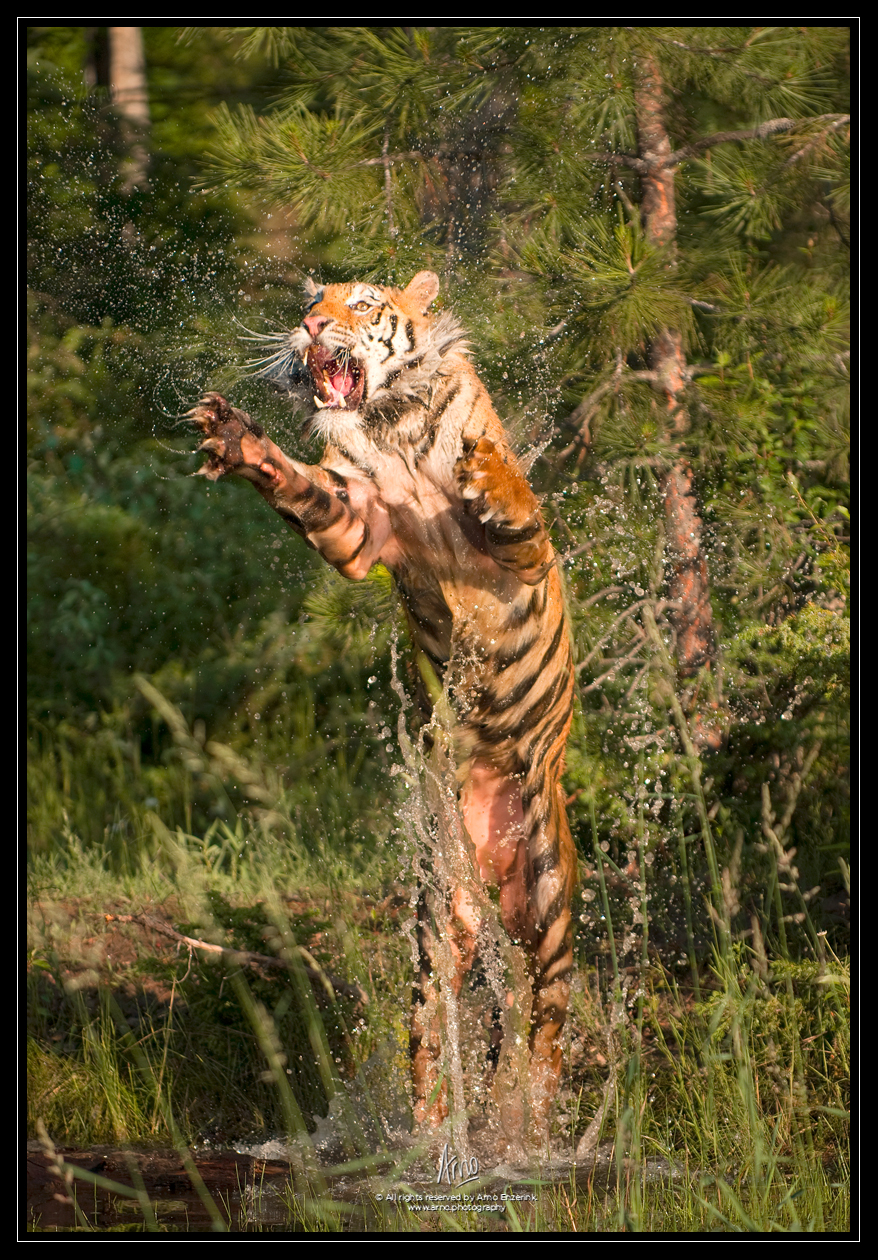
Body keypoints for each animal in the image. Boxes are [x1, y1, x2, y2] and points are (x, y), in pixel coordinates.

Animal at [190, 270, 577, 1140]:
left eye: (361, 303)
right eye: (312, 300)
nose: (310, 327)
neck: (391, 427)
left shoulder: (521, 552)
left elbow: (512, 500)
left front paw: (483, 470)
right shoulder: (356, 527)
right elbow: (300, 484)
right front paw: (235, 438)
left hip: (547, 897)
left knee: (548, 1023)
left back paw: (531, 1128)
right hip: (438, 914)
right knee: (435, 1033)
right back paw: (431, 1140)